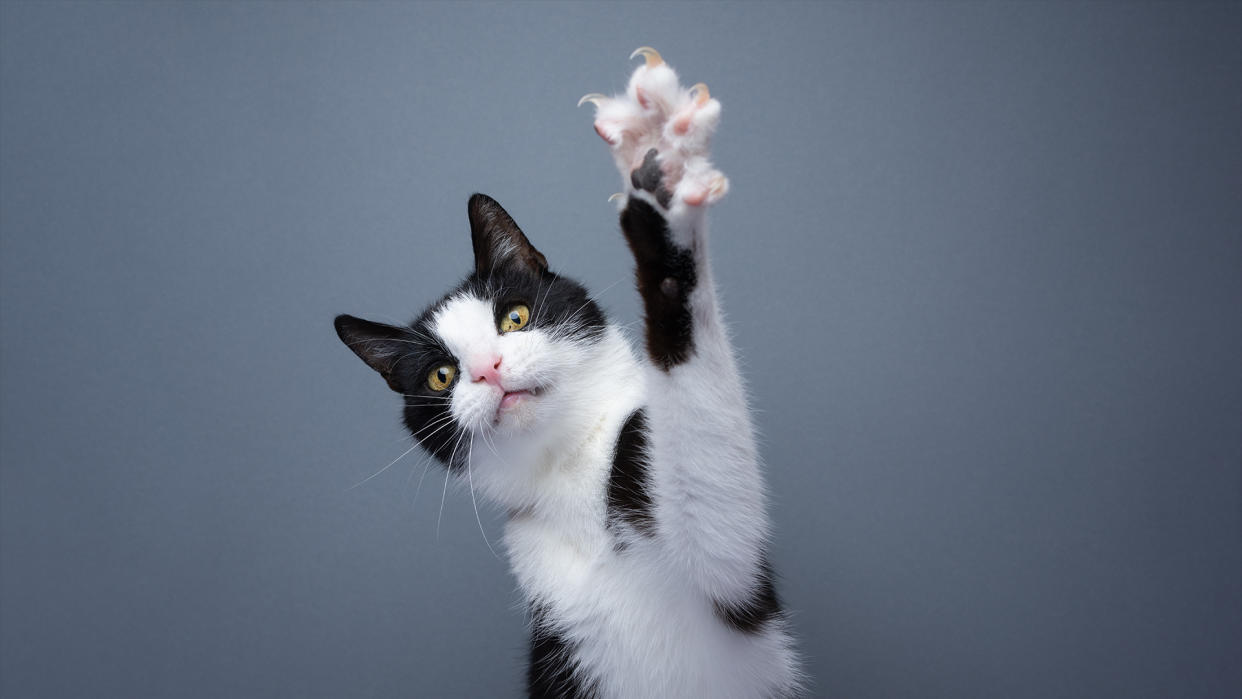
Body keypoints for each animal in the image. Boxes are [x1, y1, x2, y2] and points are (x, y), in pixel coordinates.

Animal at [335, 49, 799, 699]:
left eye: (515, 317)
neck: (569, 472)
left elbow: (709, 472)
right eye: (441, 377)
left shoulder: (725, 572)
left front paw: (660, 179)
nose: (488, 369)